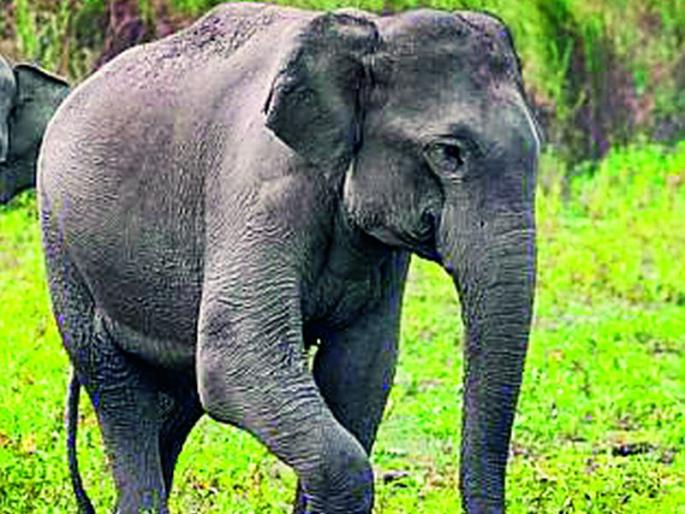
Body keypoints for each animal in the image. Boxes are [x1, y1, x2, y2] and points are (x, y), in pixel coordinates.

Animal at [37, 3, 542, 514]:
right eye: (448, 153)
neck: (371, 33)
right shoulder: (263, 185)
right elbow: (233, 355)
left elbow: (361, 367)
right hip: (62, 245)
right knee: (118, 390)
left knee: (176, 400)